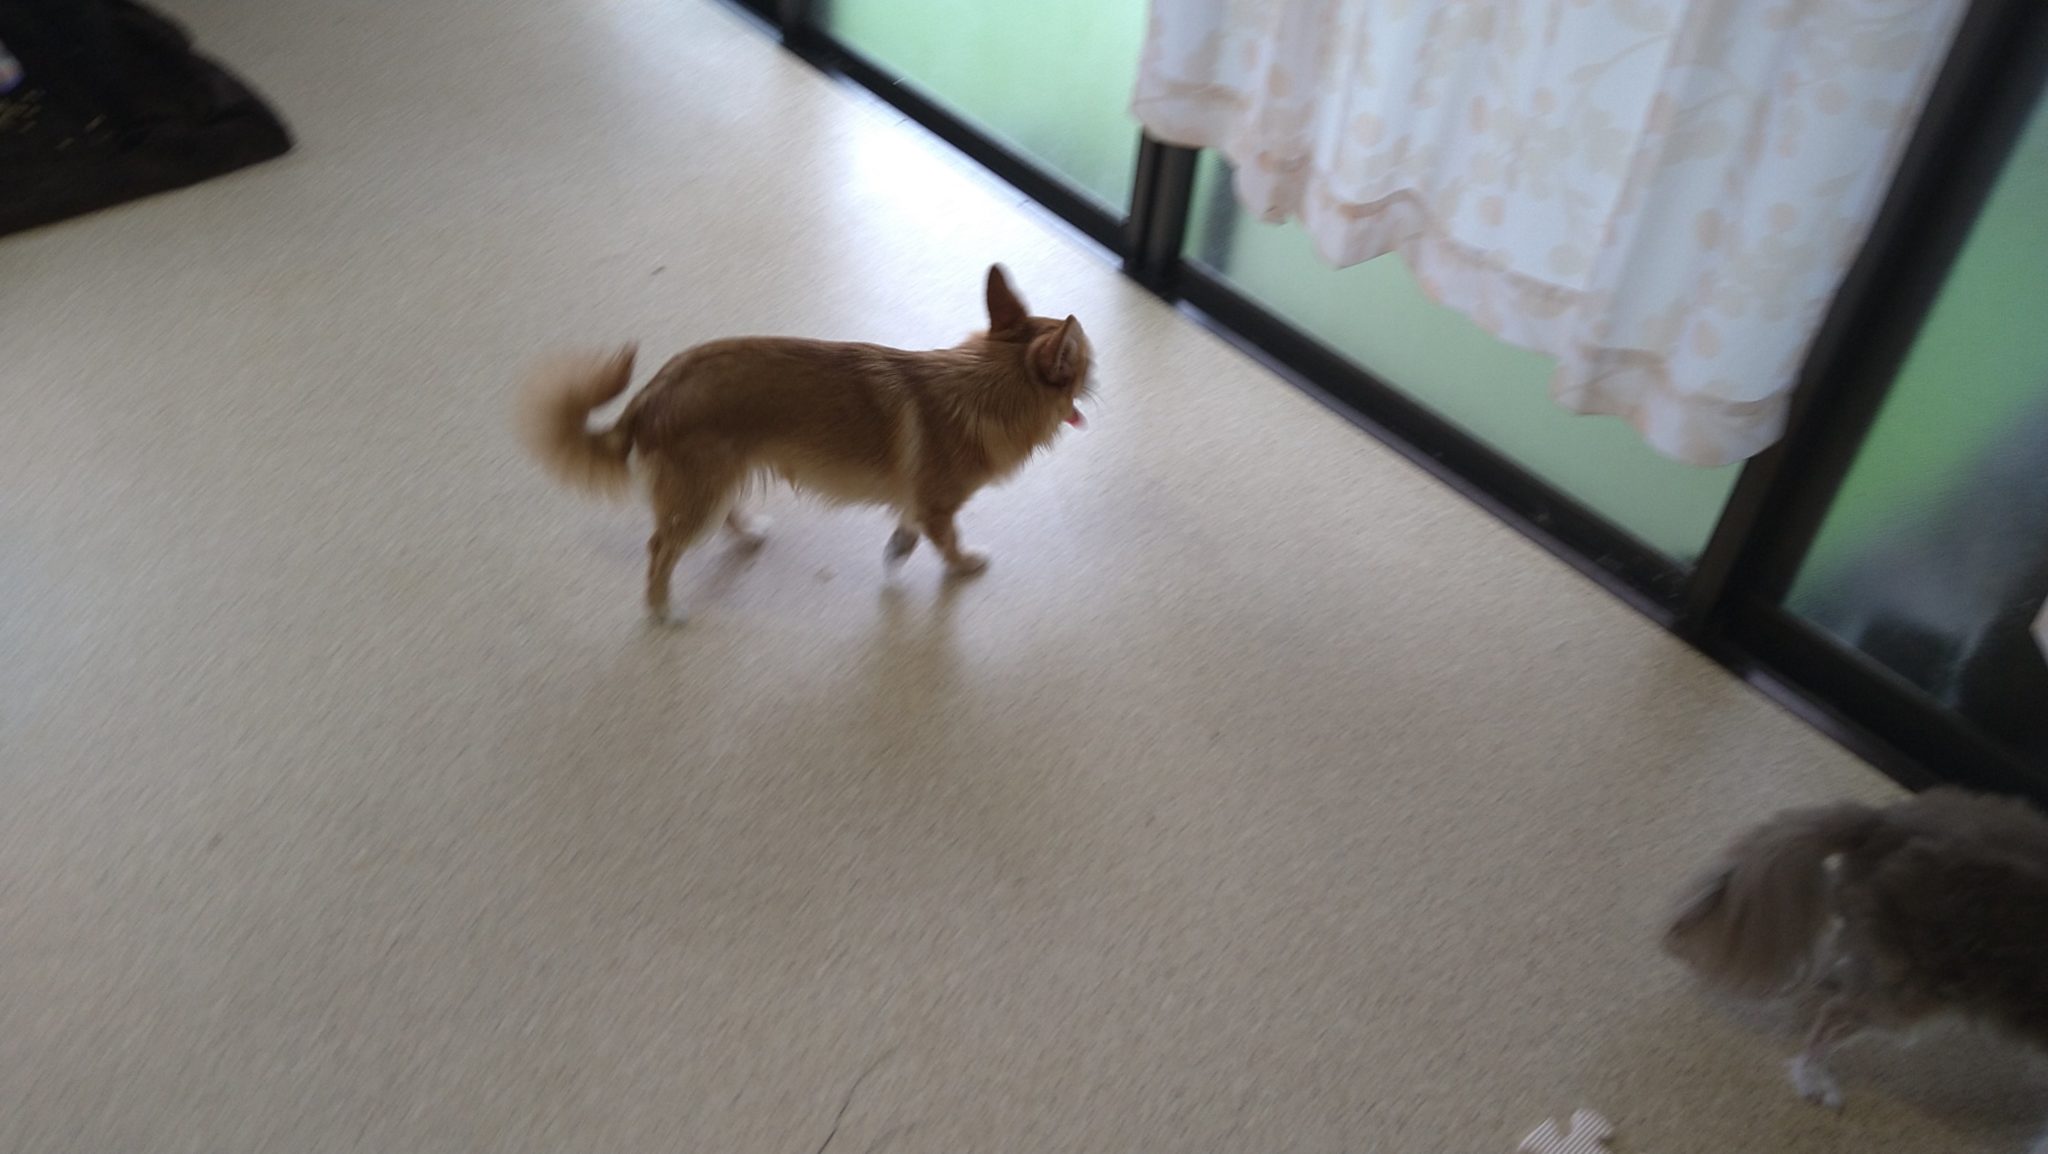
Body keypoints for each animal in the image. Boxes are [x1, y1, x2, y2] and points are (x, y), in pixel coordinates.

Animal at [518, 264, 1091, 621]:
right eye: (1086, 360)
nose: (1096, 370)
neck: (982, 384)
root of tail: (649, 396)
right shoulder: (939, 507)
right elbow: (948, 541)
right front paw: (965, 564)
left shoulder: (920, 503)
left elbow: (907, 532)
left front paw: (897, 552)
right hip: (701, 493)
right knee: (661, 548)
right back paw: (663, 609)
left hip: (721, 478)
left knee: (718, 516)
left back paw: (748, 532)